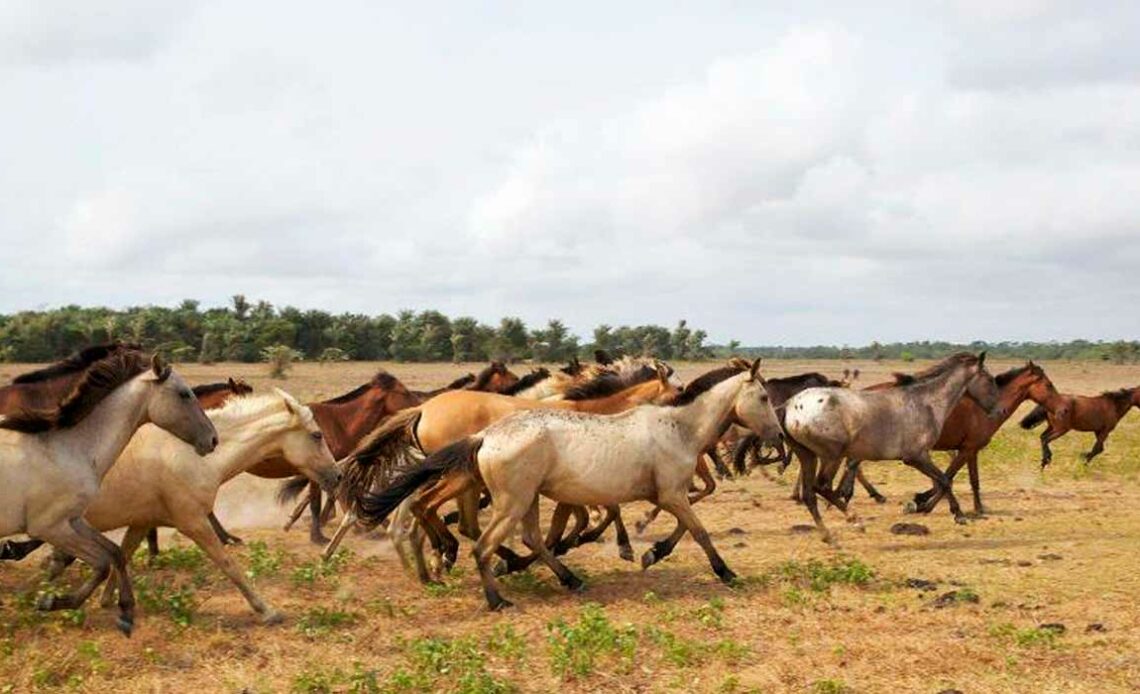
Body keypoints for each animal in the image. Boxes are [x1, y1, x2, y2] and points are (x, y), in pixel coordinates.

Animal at [0, 346, 215, 633]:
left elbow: (114, 553)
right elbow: (102, 563)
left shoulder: (74, 520)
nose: (213, 439)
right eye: (184, 394)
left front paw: (126, 612)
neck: (72, 449)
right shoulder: (48, 527)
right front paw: (51, 601)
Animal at [45, 389, 337, 624]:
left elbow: (122, 555)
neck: (196, 456)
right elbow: (228, 564)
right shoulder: (193, 522)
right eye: (317, 435)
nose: (337, 475)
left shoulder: (141, 522)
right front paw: (266, 611)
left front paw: (107, 600)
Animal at [355, 357, 784, 606]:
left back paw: (565, 578)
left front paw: (650, 552)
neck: (677, 426)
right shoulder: (671, 494)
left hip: (521, 499)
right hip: (508, 500)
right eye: (764, 396)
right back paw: (494, 596)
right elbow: (698, 530)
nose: (778, 436)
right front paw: (724, 572)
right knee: (479, 541)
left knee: (524, 537)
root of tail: (486, 437)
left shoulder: (665, 495)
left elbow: (681, 525)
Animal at [784, 350, 998, 542]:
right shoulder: (916, 457)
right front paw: (957, 515)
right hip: (831, 456)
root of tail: (791, 406)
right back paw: (855, 520)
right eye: (989, 379)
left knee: (810, 495)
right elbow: (945, 480)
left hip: (808, 456)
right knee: (821, 486)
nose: (998, 410)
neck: (926, 403)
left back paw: (827, 533)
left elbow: (943, 480)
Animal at [839, 357, 1057, 515]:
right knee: (853, 464)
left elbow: (972, 480)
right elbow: (949, 477)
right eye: (1048, 385)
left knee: (852, 464)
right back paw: (852, 495)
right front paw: (923, 504)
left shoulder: (971, 450)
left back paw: (848, 495)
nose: (1058, 407)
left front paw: (978, 508)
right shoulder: (966, 449)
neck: (983, 408)